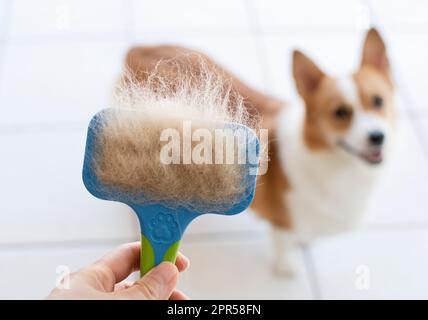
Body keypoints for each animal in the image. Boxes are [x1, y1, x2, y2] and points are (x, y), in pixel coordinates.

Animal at [122, 27, 396, 276]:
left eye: (378, 101)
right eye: (340, 112)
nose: (377, 137)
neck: (337, 165)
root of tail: (138, 48)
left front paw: (303, 241)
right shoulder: (282, 222)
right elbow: (284, 246)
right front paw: (287, 267)